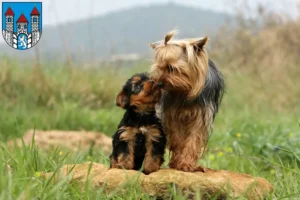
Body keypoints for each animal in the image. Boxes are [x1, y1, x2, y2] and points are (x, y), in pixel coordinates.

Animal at [149, 30, 224, 172]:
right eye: (159, 68)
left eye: (171, 68)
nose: (159, 83)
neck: (184, 90)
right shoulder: (171, 114)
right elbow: (177, 137)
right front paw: (177, 162)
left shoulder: (201, 116)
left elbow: (193, 139)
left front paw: (186, 164)